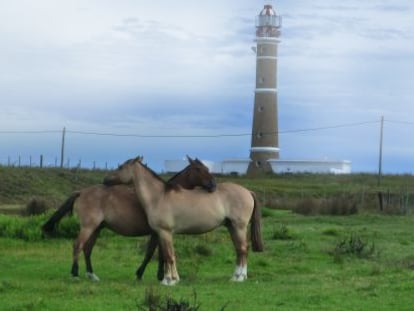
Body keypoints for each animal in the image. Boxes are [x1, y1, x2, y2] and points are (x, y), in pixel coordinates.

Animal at [42, 157, 217, 282]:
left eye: (207, 168)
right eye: (198, 169)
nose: (213, 185)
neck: (160, 195)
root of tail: (81, 192)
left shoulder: (158, 233)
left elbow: (157, 253)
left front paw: (158, 275)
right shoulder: (158, 232)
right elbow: (154, 254)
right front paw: (148, 275)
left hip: (96, 228)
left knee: (87, 249)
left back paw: (92, 275)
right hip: (88, 227)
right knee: (78, 245)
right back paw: (75, 274)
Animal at [104, 157, 266, 286]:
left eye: (121, 167)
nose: (106, 180)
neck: (158, 196)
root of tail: (248, 191)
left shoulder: (164, 232)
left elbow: (169, 255)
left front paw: (169, 280)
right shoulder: (161, 234)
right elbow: (166, 255)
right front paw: (170, 278)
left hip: (239, 227)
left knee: (243, 249)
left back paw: (240, 277)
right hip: (232, 227)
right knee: (239, 250)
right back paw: (235, 277)